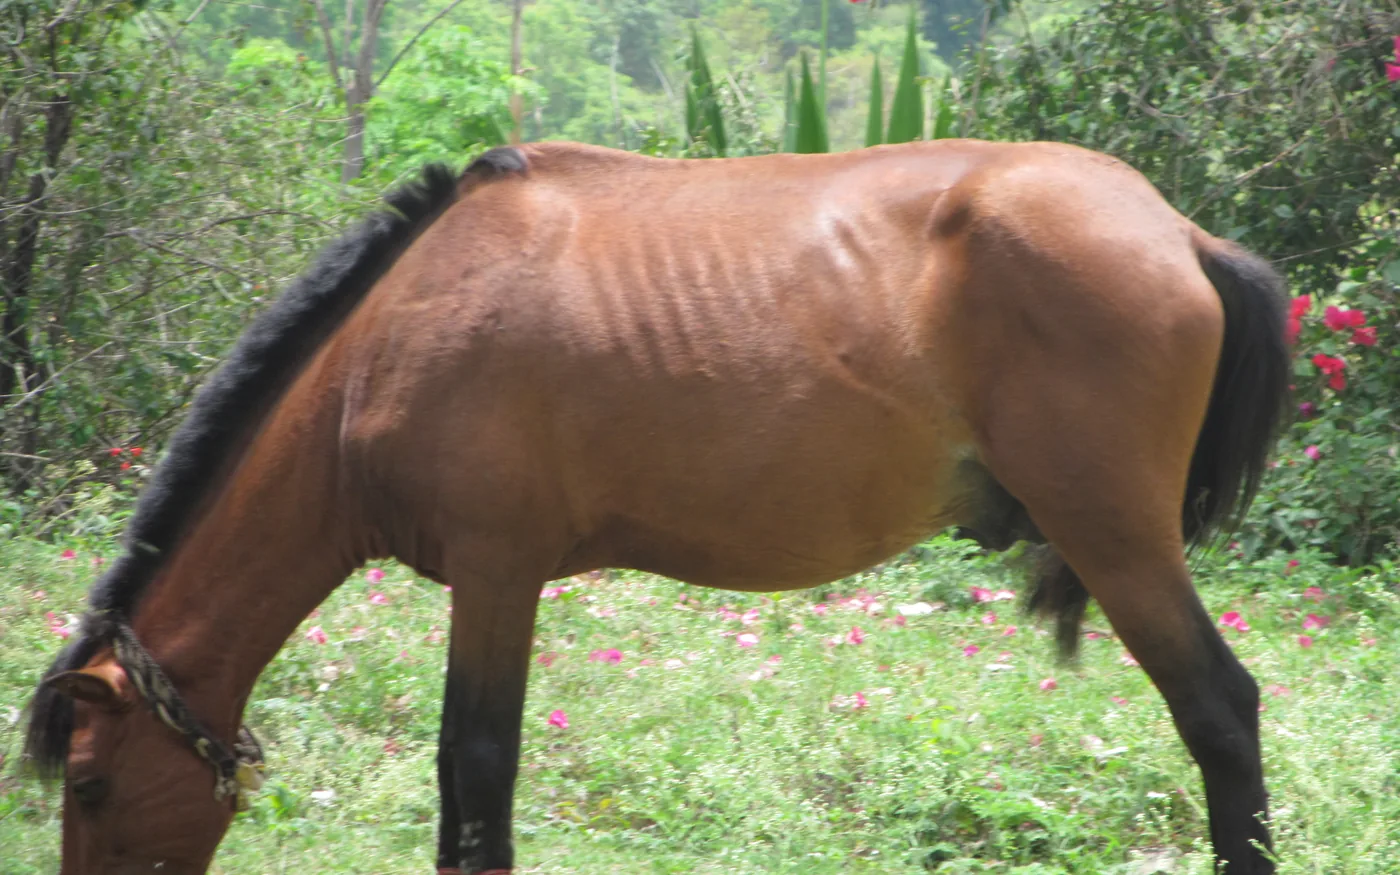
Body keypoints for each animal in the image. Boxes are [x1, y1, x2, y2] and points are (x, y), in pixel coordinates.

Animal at [25, 139, 1289, 874]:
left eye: (89, 784)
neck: (389, 341)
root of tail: (1174, 229)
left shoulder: (497, 569)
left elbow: (474, 771)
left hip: (1115, 533)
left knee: (1220, 714)